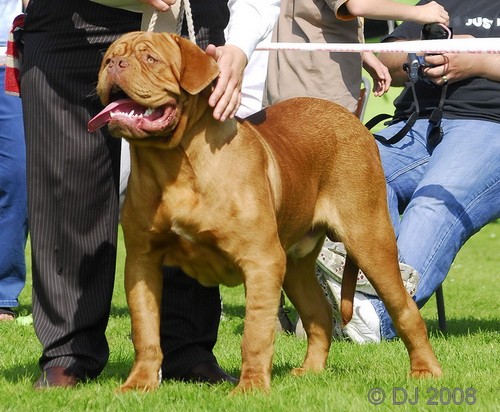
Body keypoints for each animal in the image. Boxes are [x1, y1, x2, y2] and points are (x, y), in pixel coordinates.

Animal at [90, 32, 442, 392]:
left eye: (151, 59)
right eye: (108, 58)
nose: (115, 64)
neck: (172, 163)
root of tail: (352, 119)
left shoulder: (261, 260)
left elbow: (256, 332)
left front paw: (251, 389)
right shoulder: (142, 261)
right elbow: (145, 328)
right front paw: (139, 385)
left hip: (370, 240)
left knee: (404, 308)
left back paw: (426, 371)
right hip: (296, 264)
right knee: (318, 313)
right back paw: (311, 370)